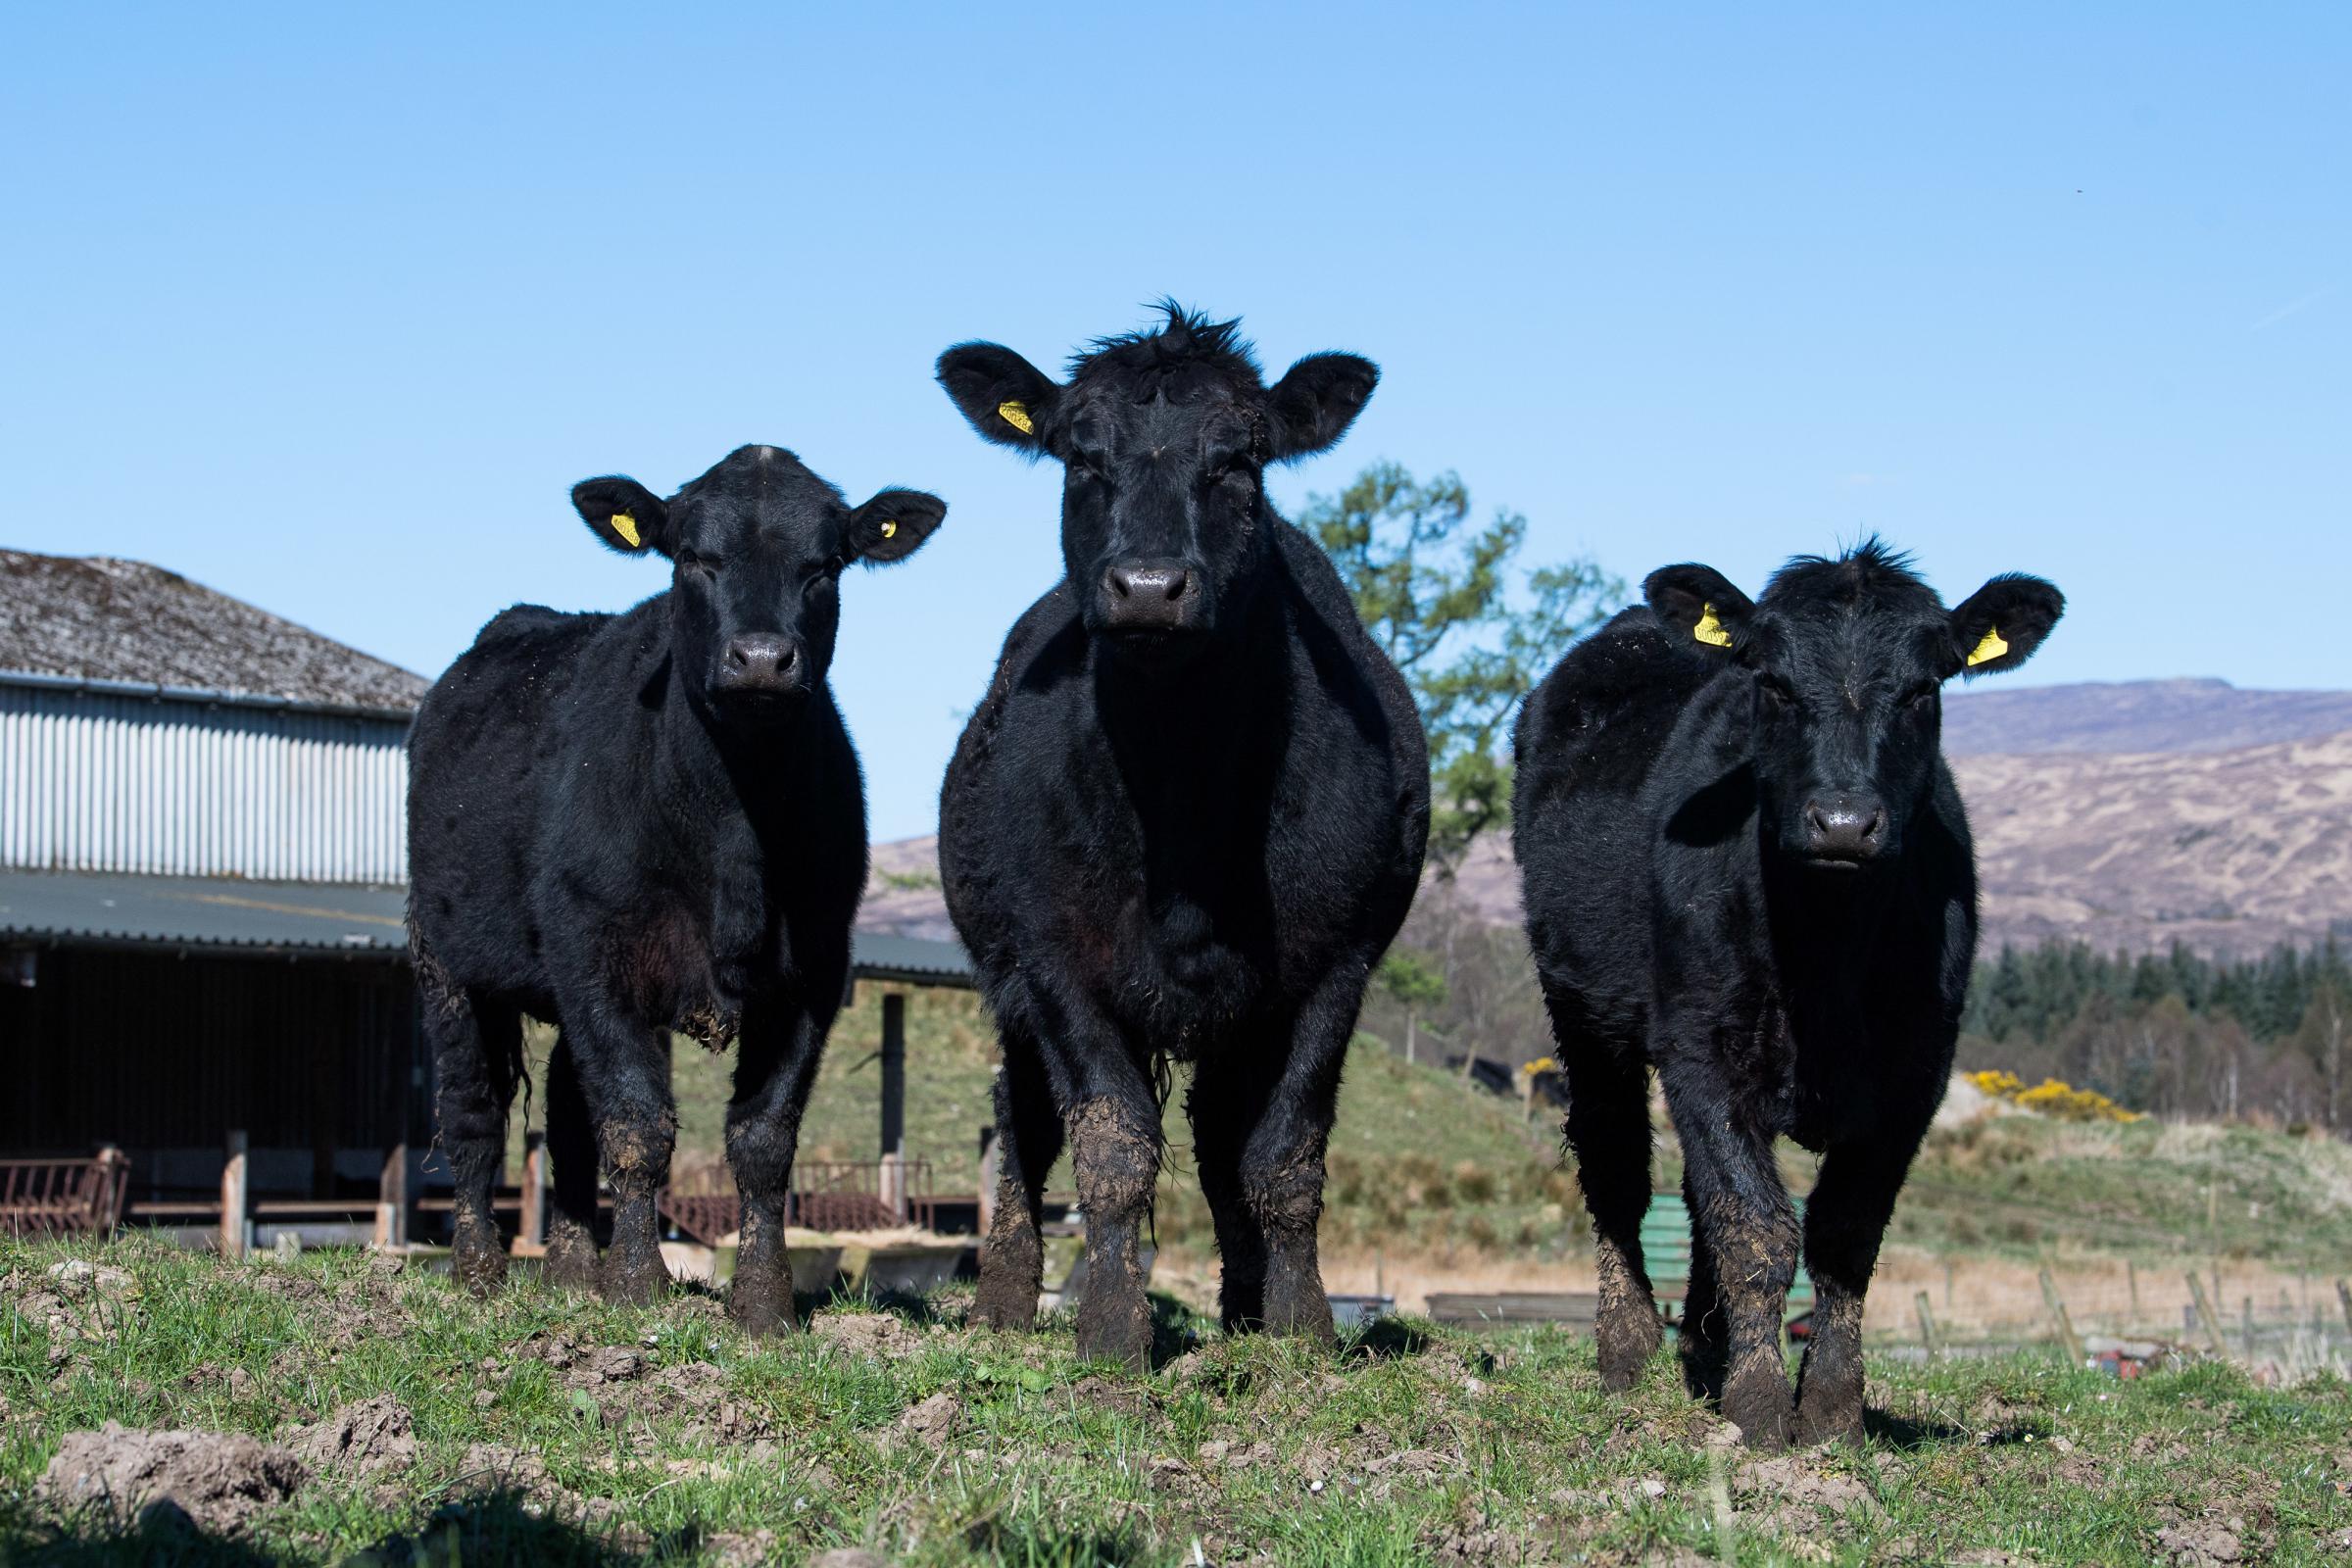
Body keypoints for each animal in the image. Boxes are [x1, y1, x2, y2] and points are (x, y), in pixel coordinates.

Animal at [407, 444, 945, 1335]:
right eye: (694, 557)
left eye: (825, 565)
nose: (761, 659)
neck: (733, 830)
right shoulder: (595, 953)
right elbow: (635, 1125)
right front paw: (635, 1287)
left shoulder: (813, 971)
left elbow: (762, 1138)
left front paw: (761, 1302)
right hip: (446, 960)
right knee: (473, 1110)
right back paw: (478, 1270)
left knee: (566, 1113)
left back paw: (569, 1273)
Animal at [926, 310, 1420, 1372]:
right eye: (1080, 456)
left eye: (1238, 461)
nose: (1149, 587)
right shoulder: (1054, 959)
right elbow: (1110, 1142)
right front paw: (1113, 1334)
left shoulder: (1337, 963)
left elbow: (1283, 1153)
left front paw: (1301, 1329)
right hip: (1009, 985)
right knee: (1025, 1130)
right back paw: (1003, 1303)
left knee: (1222, 1134)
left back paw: (1243, 1307)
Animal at [1514, 540, 2070, 1447]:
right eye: (1772, 683)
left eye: (1924, 689)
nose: (1843, 823)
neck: (1829, 958)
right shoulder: (1699, 1050)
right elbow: (1757, 1231)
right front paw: (1762, 1407)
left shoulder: (1917, 1073)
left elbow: (1842, 1233)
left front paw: (1834, 1408)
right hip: (1581, 1009)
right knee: (1616, 1163)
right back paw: (1628, 1349)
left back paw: (1702, 1348)